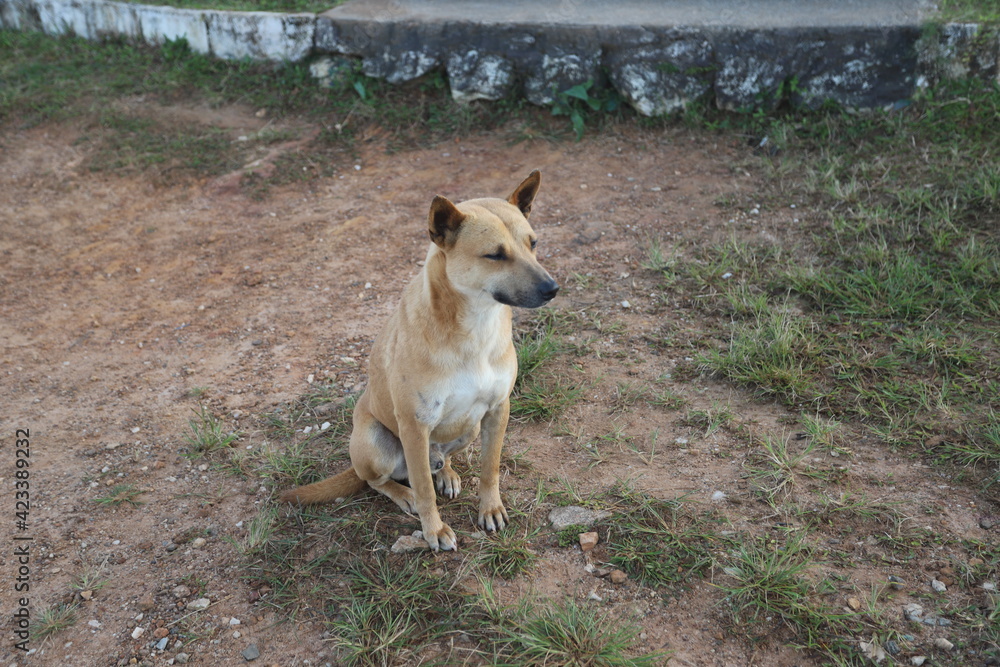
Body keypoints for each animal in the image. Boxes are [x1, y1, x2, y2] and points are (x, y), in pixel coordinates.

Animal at [282, 174, 560, 552]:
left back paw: (447, 472)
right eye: (495, 255)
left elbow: (490, 469)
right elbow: (425, 491)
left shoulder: (497, 409)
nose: (552, 288)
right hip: (377, 442)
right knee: (380, 481)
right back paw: (405, 494)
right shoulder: (414, 426)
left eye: (534, 243)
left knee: (439, 462)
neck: (473, 327)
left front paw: (490, 508)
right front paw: (434, 530)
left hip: (469, 429)